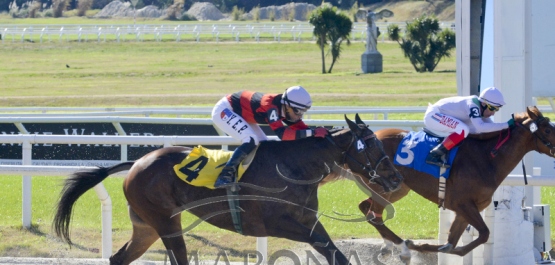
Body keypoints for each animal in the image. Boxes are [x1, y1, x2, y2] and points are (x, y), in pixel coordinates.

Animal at [53, 114, 404, 264]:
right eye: (372, 145)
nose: (396, 178)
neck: (296, 167)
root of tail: (137, 162)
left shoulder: (308, 220)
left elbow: (334, 252)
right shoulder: (275, 223)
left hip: (146, 226)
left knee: (119, 258)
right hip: (165, 222)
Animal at [358, 105, 552, 262]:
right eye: (548, 130)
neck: (487, 158)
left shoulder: (467, 208)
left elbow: (456, 242)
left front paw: (429, 247)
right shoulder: (463, 203)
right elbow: (483, 234)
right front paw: (415, 246)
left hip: (397, 188)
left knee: (367, 208)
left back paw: (391, 246)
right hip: (381, 186)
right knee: (373, 215)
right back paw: (401, 247)